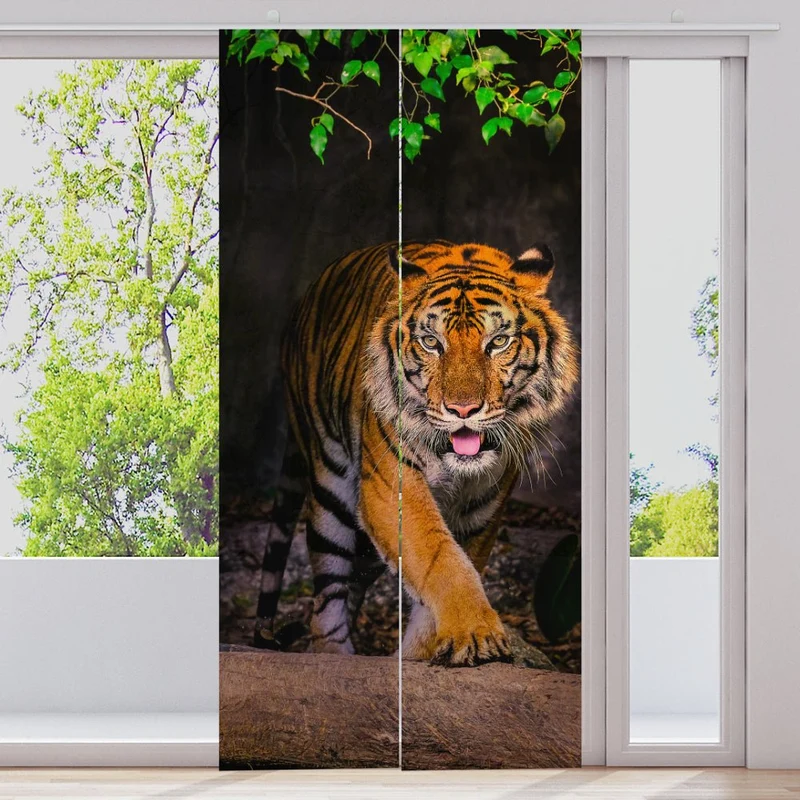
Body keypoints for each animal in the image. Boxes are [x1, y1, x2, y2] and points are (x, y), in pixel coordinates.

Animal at [253, 239, 578, 666]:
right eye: (431, 343)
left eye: (498, 342)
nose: (462, 410)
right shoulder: (391, 488)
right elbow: (441, 559)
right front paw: (476, 632)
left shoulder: (483, 509)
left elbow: (452, 567)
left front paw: (425, 651)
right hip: (330, 489)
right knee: (328, 596)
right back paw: (334, 654)